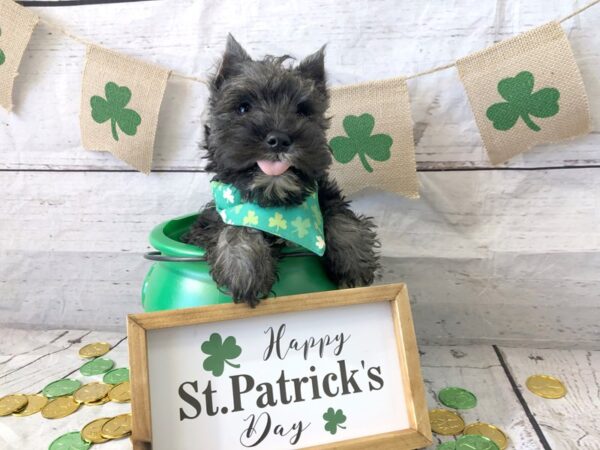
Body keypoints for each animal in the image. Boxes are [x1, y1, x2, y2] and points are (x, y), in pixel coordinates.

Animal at [183, 35, 380, 306]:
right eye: (243, 108)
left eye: (303, 111)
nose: (279, 139)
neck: (275, 204)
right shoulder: (209, 223)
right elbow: (234, 225)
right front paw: (242, 268)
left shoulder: (326, 195)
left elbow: (341, 216)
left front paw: (354, 260)